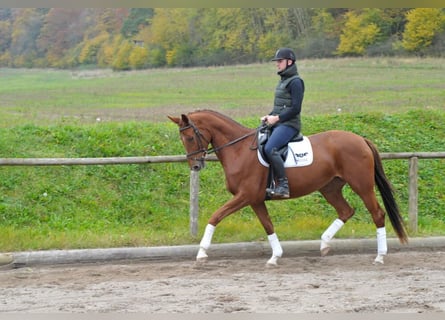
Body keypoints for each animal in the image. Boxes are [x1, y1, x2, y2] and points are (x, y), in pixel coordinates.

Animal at [168, 110, 408, 264]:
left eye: (190, 137)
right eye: (182, 138)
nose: (195, 166)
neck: (239, 150)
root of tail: (361, 139)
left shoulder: (245, 196)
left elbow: (215, 216)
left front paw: (201, 252)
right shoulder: (255, 200)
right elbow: (268, 226)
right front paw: (275, 256)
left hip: (362, 185)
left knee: (377, 213)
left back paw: (380, 256)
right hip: (330, 187)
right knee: (346, 211)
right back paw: (324, 244)